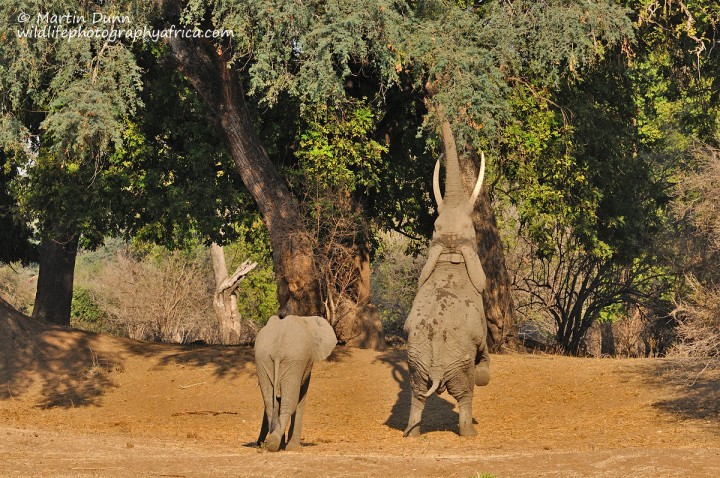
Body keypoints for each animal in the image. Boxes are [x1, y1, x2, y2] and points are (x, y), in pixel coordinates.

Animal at [255, 316, 336, 450]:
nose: (259, 444)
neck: (307, 319)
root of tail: (278, 351)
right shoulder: (304, 364)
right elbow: (301, 397)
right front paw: (294, 448)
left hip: (263, 360)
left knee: (270, 403)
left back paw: (274, 444)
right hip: (293, 361)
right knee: (289, 403)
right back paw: (275, 444)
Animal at [404, 119, 490, 436]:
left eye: (435, 225)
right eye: (474, 230)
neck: (450, 250)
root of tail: (438, 369)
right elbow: (484, 349)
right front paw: (485, 372)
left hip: (415, 363)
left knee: (417, 394)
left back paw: (413, 433)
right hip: (457, 363)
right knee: (465, 394)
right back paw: (470, 432)